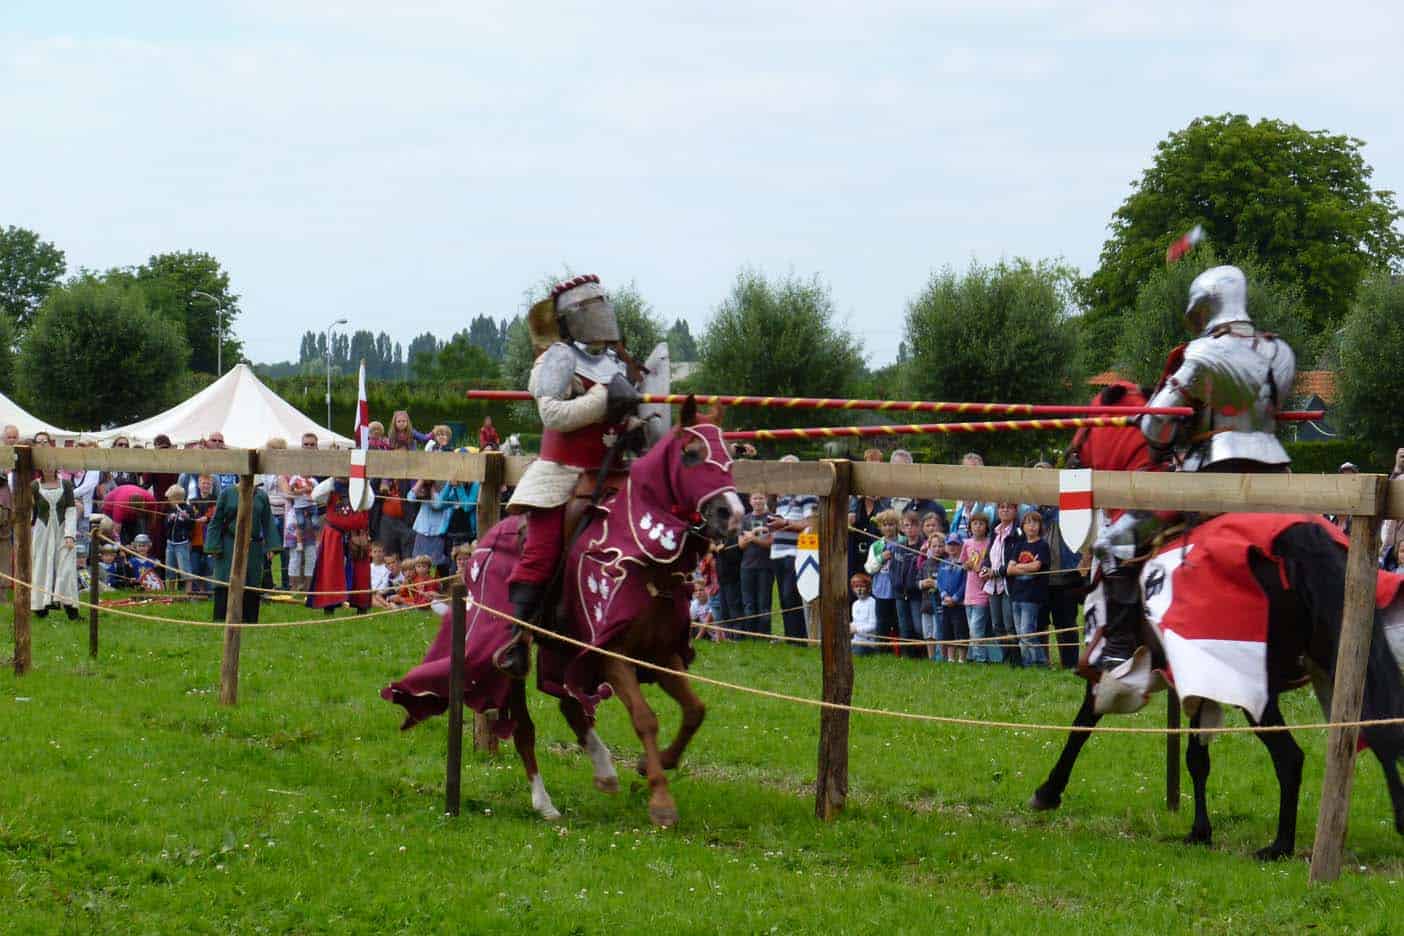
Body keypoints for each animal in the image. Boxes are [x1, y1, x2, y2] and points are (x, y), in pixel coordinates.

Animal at [379, 401, 741, 825]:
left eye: (729, 455)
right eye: (691, 453)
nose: (731, 513)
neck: (644, 558)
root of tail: (480, 546)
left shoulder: (661, 654)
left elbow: (696, 710)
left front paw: (657, 763)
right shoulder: (611, 655)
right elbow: (645, 718)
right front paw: (661, 801)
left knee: (569, 703)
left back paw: (603, 770)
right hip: (514, 655)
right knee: (524, 725)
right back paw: (544, 802)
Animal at [1027, 384, 1404, 858]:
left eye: (1090, 424)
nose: (1071, 457)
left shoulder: (1114, 669)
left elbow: (1083, 721)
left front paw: (1048, 791)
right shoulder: (1196, 675)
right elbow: (1196, 757)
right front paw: (1199, 831)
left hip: (1258, 686)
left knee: (1291, 757)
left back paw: (1280, 845)